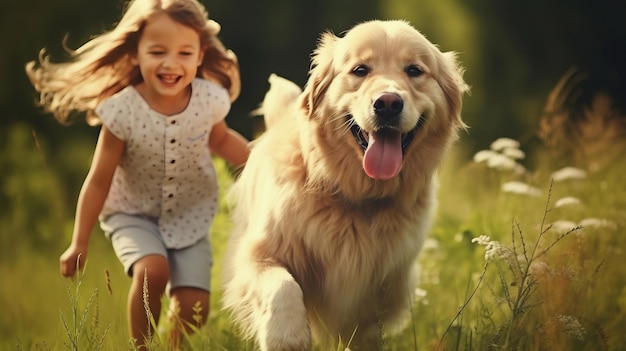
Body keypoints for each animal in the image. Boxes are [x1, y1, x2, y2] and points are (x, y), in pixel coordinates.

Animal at [219, 20, 464, 350]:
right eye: (360, 70)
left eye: (414, 70)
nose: (388, 103)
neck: (355, 195)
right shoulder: (258, 253)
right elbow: (283, 284)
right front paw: (287, 335)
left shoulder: (379, 286)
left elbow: (362, 330)